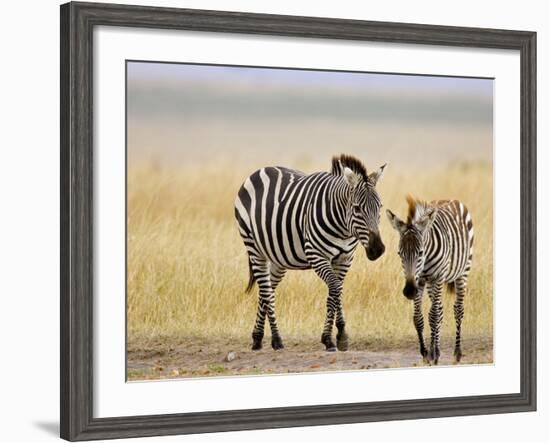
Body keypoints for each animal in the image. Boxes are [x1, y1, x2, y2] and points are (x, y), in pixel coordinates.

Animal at [234, 156, 388, 354]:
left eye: (380, 207)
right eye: (357, 209)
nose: (377, 249)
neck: (344, 229)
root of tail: (261, 170)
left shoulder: (345, 259)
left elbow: (336, 292)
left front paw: (340, 336)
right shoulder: (317, 256)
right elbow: (335, 289)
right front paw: (330, 338)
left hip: (278, 258)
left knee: (265, 290)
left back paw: (258, 338)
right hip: (254, 248)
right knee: (267, 291)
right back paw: (276, 339)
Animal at [386, 197, 476, 364]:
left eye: (420, 252)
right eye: (399, 253)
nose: (409, 291)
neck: (425, 260)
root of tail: (450, 199)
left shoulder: (438, 276)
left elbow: (433, 315)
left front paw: (433, 353)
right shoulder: (420, 280)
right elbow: (419, 318)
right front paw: (426, 352)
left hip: (463, 271)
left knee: (457, 310)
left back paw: (457, 353)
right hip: (430, 284)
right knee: (439, 309)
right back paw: (437, 349)